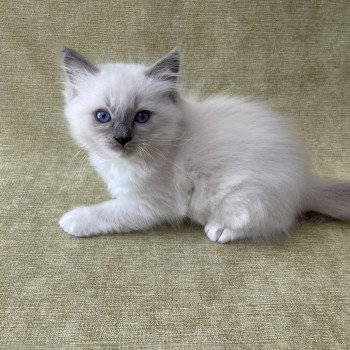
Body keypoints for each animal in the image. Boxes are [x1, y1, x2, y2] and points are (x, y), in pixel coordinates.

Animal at [59, 48, 350, 243]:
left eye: (141, 117)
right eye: (103, 116)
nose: (121, 138)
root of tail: (305, 182)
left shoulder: (151, 204)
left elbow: (109, 211)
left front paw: (74, 219)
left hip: (241, 197)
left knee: (267, 223)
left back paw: (218, 229)